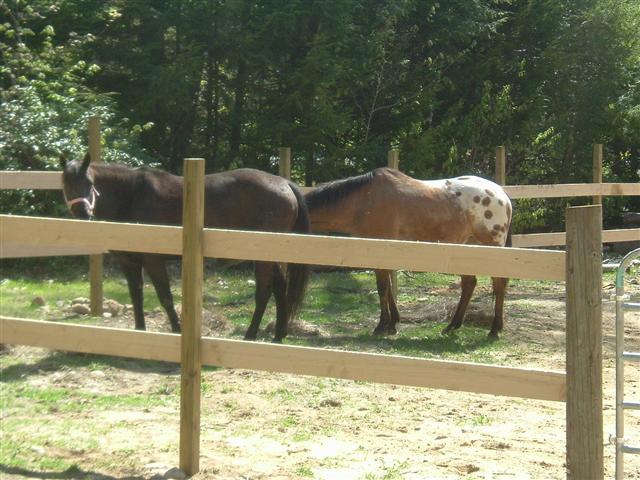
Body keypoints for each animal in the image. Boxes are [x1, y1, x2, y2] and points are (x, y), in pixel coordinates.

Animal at [61, 153, 310, 342]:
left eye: (90, 184)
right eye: (66, 184)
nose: (83, 213)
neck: (132, 196)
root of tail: (284, 183)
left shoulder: (154, 260)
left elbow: (165, 297)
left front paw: (177, 330)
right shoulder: (129, 262)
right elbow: (136, 296)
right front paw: (140, 331)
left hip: (262, 257)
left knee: (264, 292)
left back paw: (250, 335)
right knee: (279, 287)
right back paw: (278, 335)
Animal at [304, 167, 512, 339]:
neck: (364, 201)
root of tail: (501, 194)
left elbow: (382, 287)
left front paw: (382, 326)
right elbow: (388, 286)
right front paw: (393, 323)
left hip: (491, 247)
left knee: (499, 283)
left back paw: (494, 330)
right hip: (468, 247)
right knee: (469, 284)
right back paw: (452, 326)